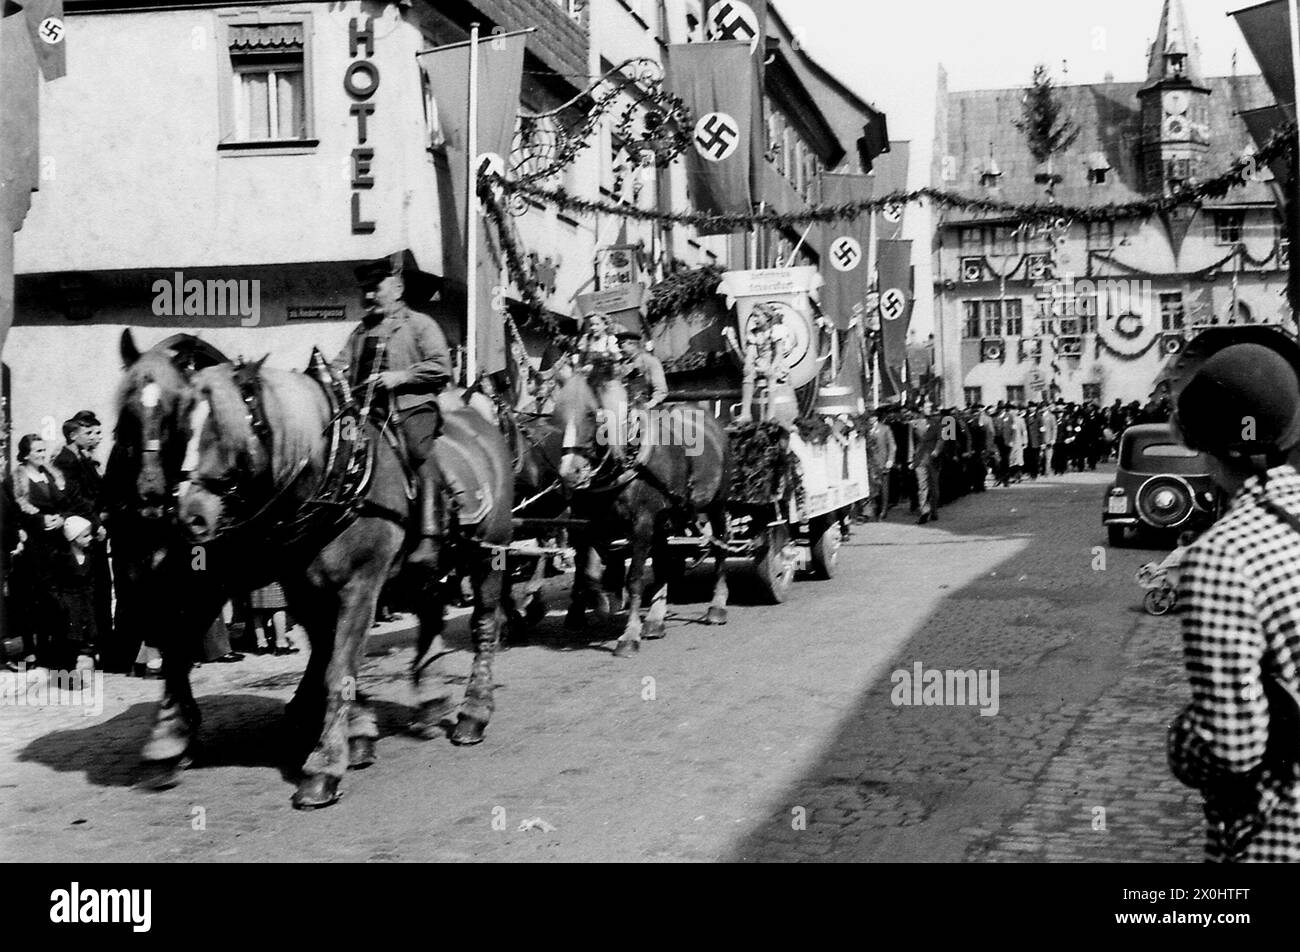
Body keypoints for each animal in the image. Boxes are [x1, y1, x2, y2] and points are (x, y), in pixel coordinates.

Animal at [118, 330, 512, 806]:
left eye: (229, 430)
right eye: (178, 425)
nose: (184, 515)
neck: (336, 476)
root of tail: (481, 421)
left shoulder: (359, 587)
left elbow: (337, 668)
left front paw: (324, 765)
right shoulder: (301, 587)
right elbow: (326, 659)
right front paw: (353, 735)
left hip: (490, 553)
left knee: (484, 624)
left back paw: (473, 713)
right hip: (424, 569)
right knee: (432, 614)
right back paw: (431, 701)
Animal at [548, 369, 733, 655]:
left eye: (591, 414)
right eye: (558, 416)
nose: (569, 474)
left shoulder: (642, 524)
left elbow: (634, 578)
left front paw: (629, 636)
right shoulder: (592, 525)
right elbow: (588, 573)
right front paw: (602, 604)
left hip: (716, 504)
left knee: (720, 545)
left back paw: (717, 606)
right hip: (666, 519)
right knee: (663, 561)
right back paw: (655, 621)